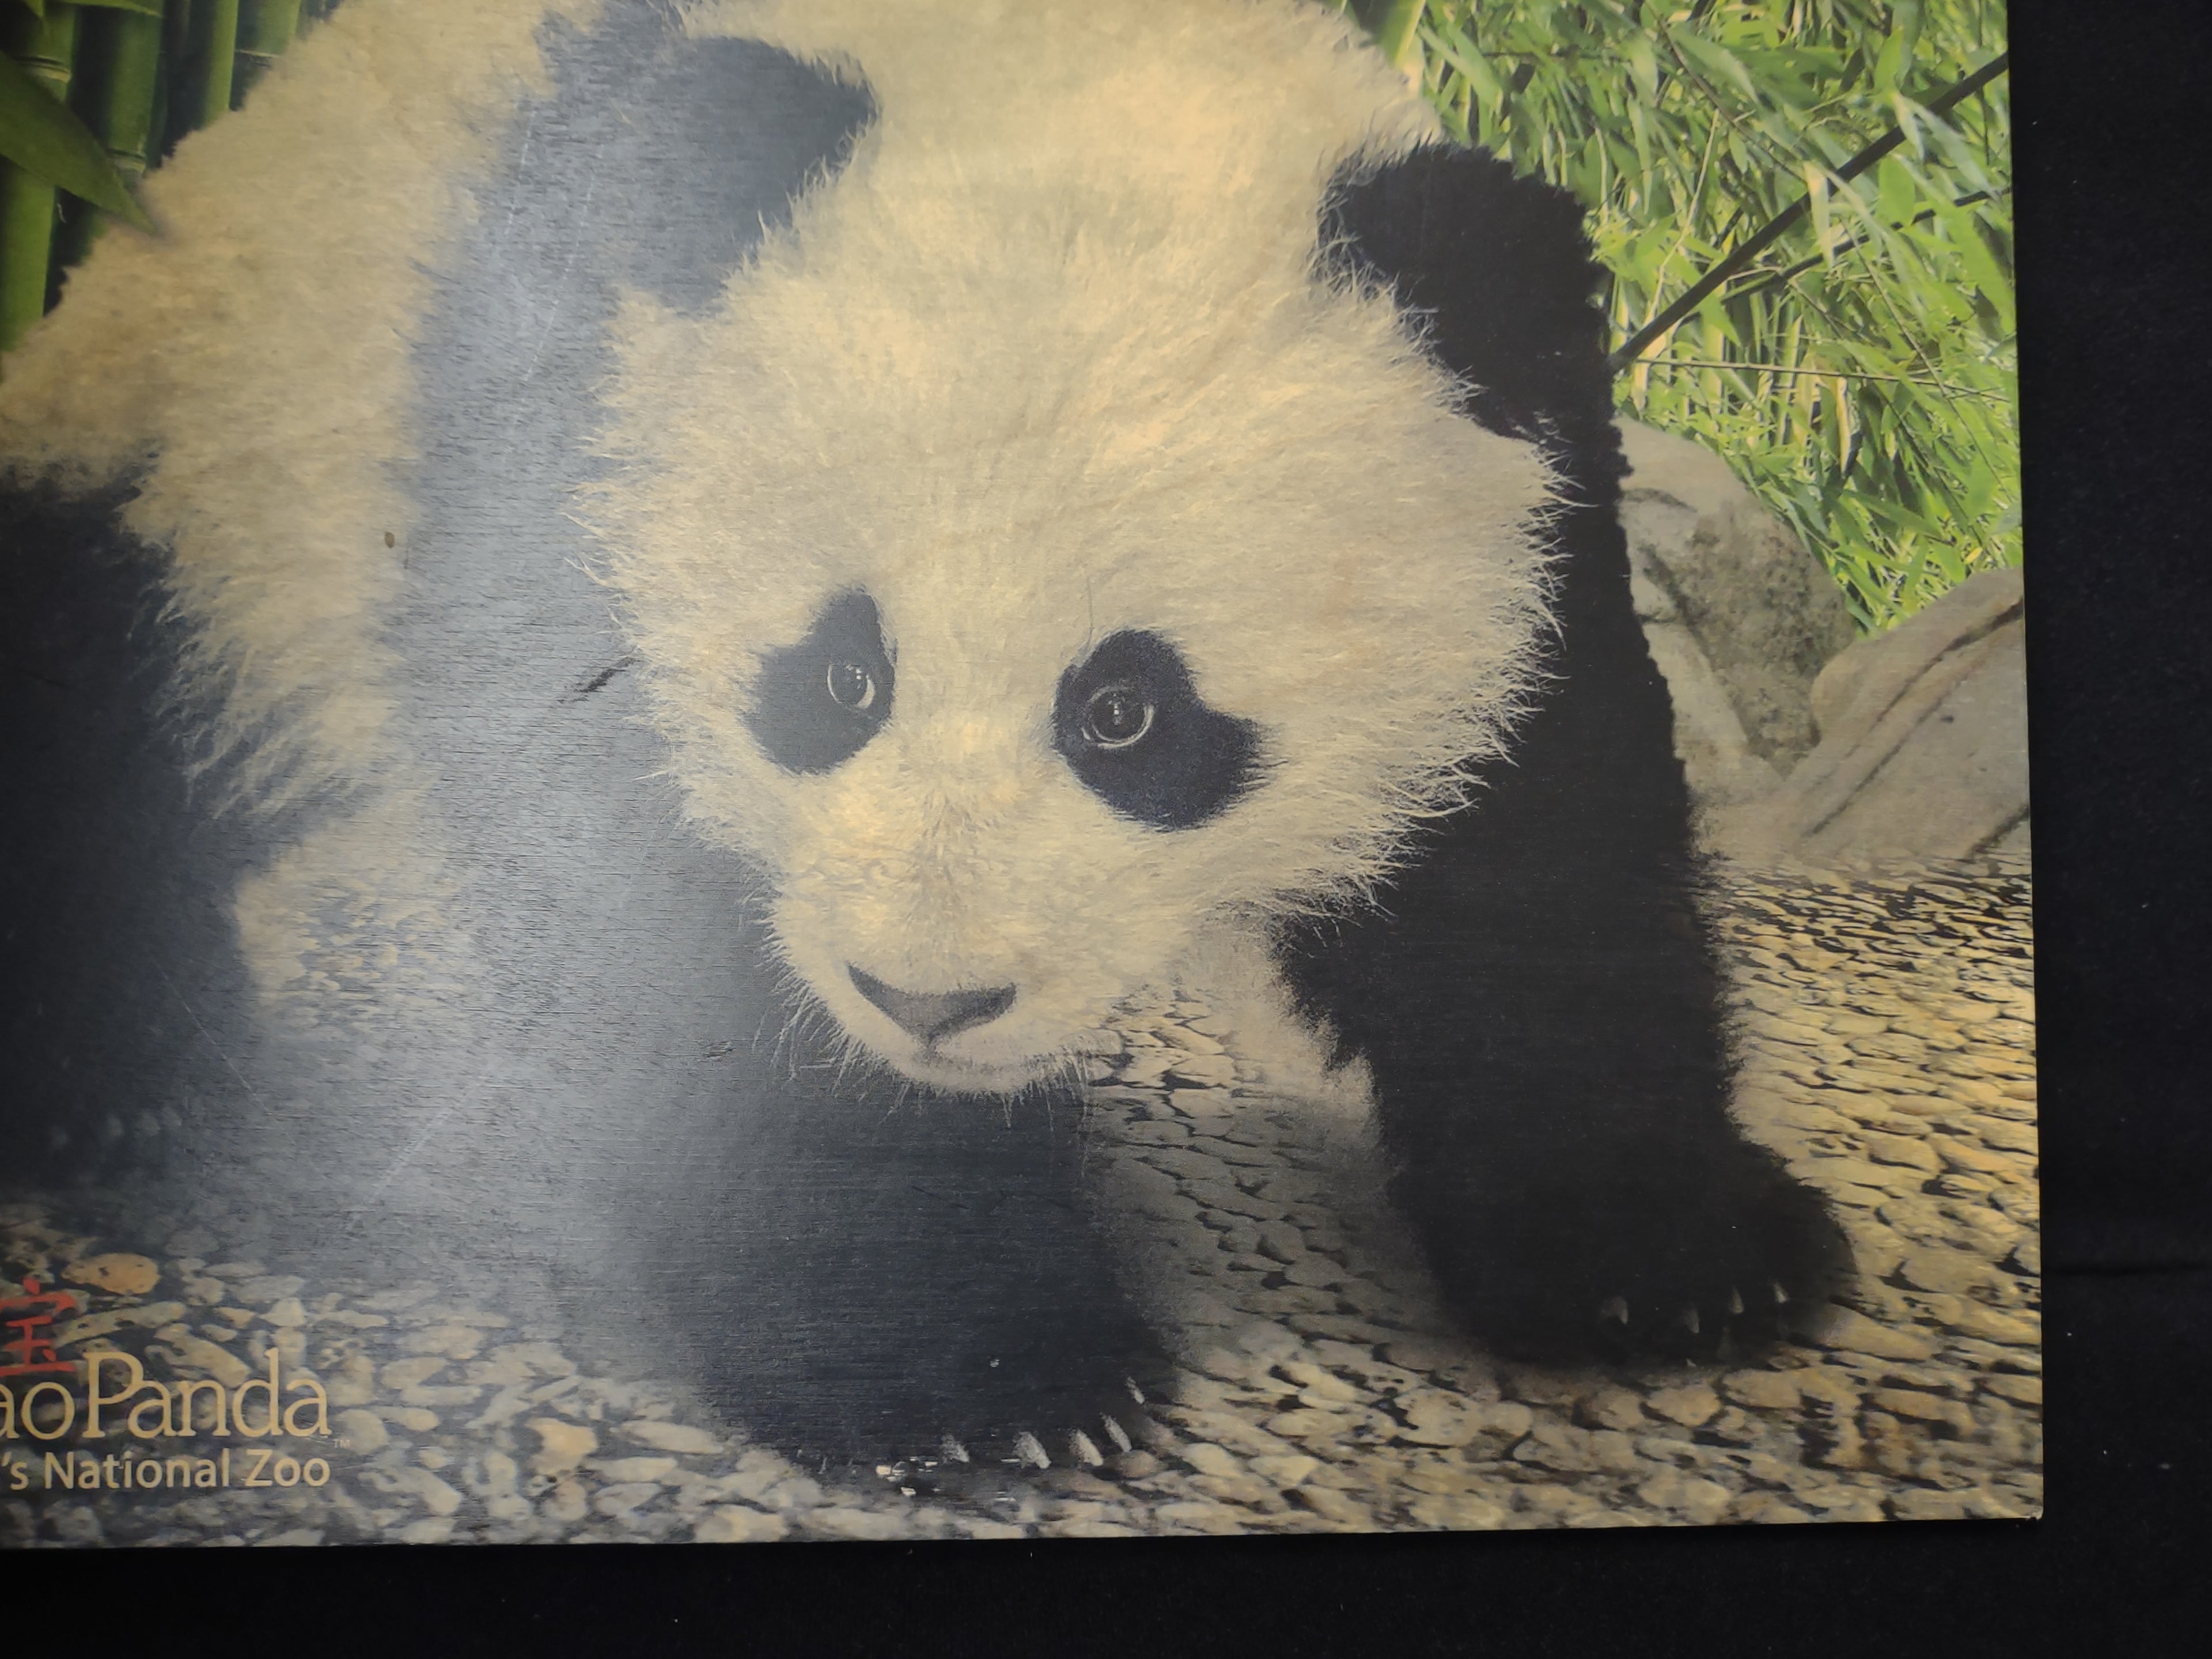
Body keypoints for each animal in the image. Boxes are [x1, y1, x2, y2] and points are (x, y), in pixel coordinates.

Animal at [0, 0, 1847, 1469]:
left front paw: (1675, 1261)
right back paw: (112, 1091)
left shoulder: (1516, 502)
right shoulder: (563, 451)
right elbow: (668, 924)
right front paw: (974, 1373)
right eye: (837, 679)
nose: (930, 1003)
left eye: (1128, 713)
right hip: (211, 446)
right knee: (105, 695)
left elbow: (1530, 866)